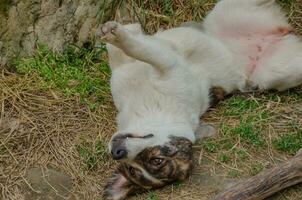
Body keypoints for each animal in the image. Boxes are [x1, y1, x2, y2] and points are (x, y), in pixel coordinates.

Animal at [95, 0, 302, 199]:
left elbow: (138, 48)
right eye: (131, 169)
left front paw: (118, 34)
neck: (152, 111)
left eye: (157, 160)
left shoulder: (168, 64)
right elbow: (121, 48)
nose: (117, 153)